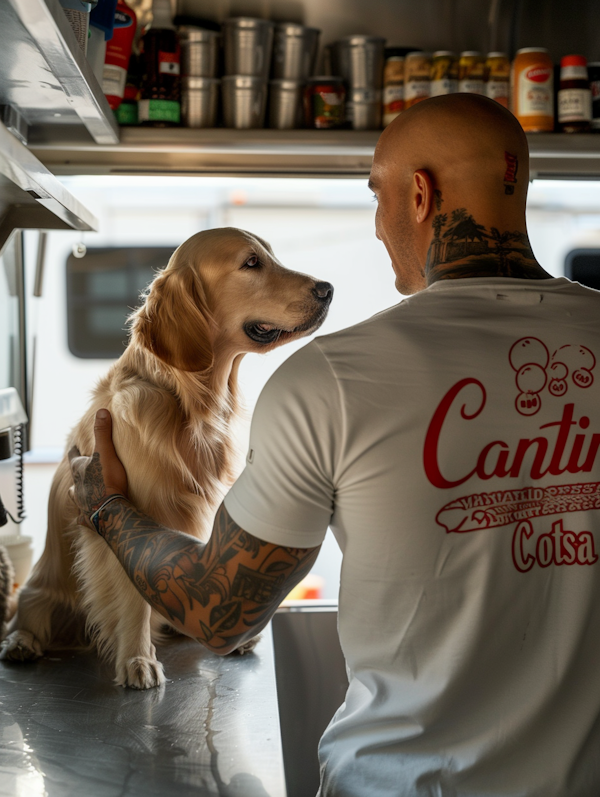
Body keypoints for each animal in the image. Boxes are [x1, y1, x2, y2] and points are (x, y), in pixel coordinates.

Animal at [1, 227, 332, 688]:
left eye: (272, 256)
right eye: (251, 263)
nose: (328, 289)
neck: (185, 401)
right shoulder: (131, 514)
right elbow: (132, 597)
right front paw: (137, 659)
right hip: (41, 592)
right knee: (30, 614)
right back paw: (21, 642)